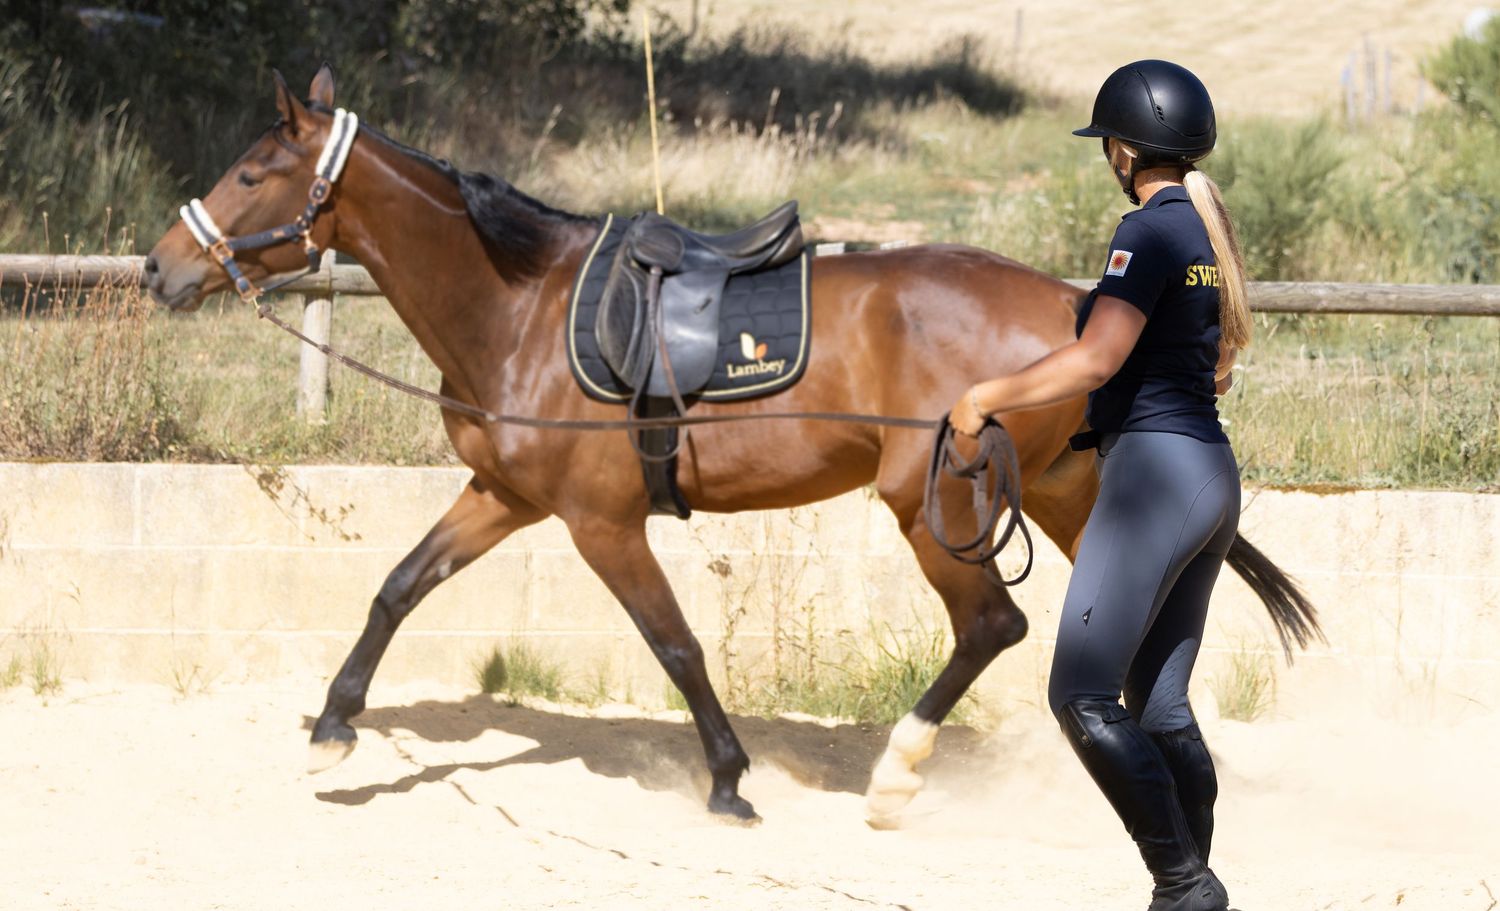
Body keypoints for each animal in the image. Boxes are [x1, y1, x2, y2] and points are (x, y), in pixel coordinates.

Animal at [144, 66, 1318, 824]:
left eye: (250, 172)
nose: (160, 267)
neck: (521, 307)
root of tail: (1076, 304)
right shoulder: (502, 494)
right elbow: (397, 587)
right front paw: (334, 725)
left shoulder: (600, 521)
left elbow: (675, 645)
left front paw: (726, 780)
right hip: (1072, 496)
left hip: (934, 508)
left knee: (994, 623)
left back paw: (897, 774)